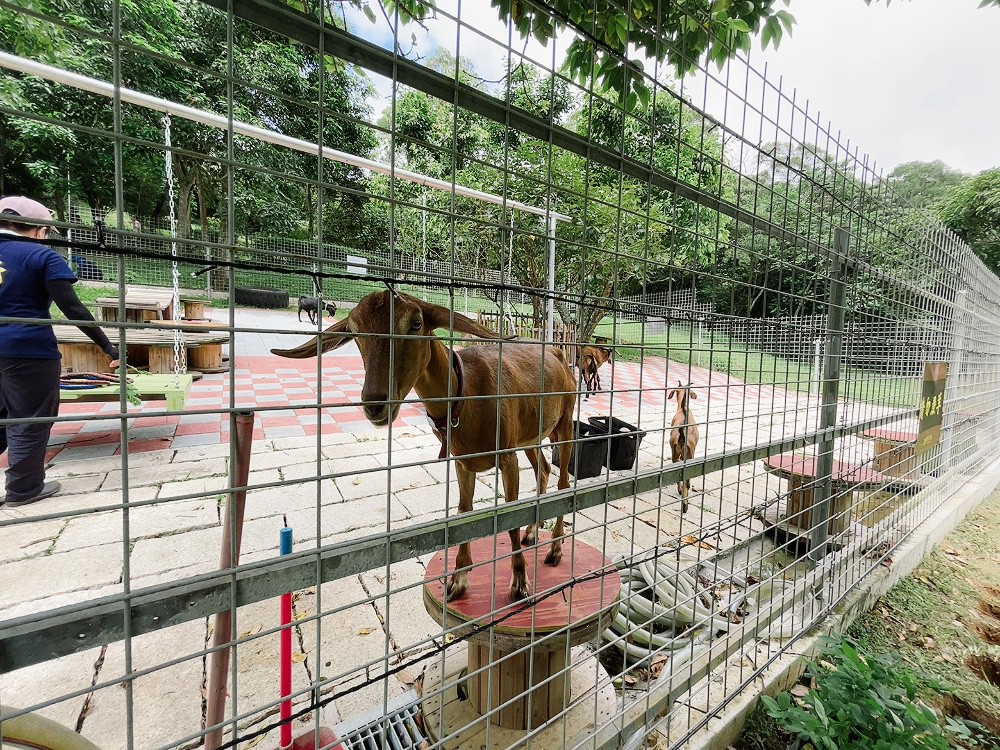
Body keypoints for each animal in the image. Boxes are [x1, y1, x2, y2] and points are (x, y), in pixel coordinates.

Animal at [272, 290, 580, 604]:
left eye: (416, 323)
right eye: (355, 331)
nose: (374, 404)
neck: (467, 394)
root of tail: (559, 354)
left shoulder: (506, 457)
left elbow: (510, 516)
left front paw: (519, 582)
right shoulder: (462, 461)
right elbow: (464, 511)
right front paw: (457, 579)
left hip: (565, 423)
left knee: (564, 483)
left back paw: (555, 549)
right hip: (531, 437)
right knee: (543, 470)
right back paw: (534, 533)